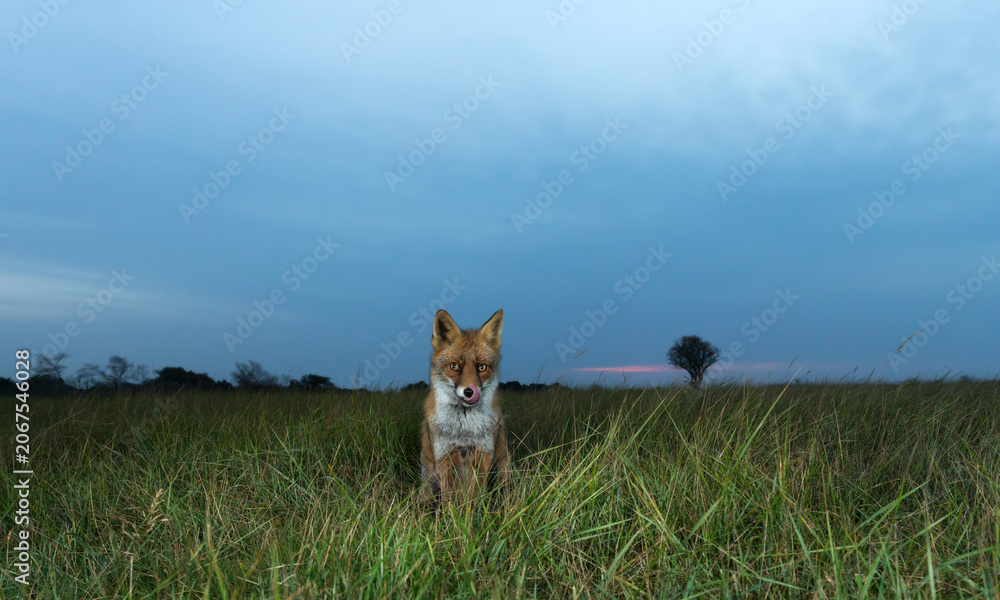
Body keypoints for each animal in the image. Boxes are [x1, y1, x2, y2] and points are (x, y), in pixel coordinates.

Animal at [419, 308, 511, 503]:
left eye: (482, 367)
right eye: (455, 366)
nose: (469, 391)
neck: (464, 430)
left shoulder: (483, 454)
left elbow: (475, 495)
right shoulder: (444, 455)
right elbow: (450, 499)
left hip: (503, 463)